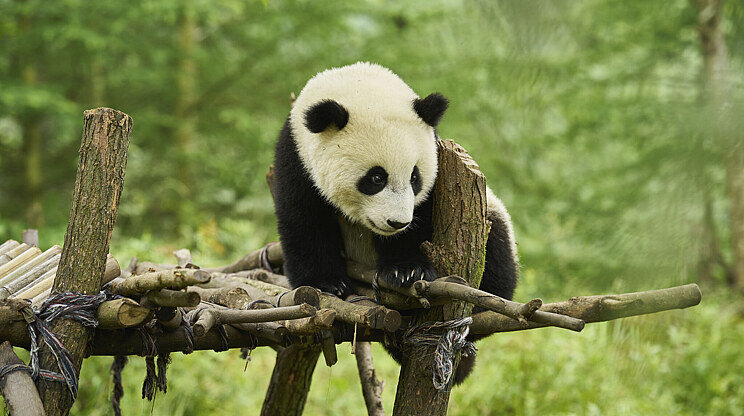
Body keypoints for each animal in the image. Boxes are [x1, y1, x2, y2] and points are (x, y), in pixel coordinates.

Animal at [272, 62, 519, 383]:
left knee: (498, 253)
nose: (397, 222)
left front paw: (406, 271)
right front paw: (328, 284)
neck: (358, 83)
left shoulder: (436, 160)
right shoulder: (296, 158)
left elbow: (423, 221)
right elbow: (304, 221)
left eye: (415, 177)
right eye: (376, 177)